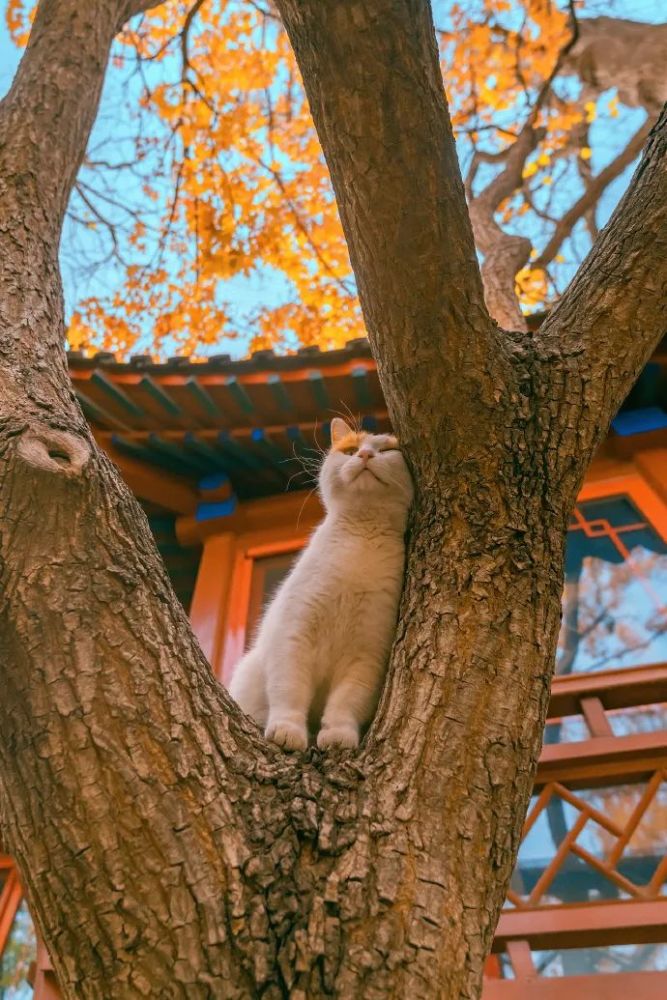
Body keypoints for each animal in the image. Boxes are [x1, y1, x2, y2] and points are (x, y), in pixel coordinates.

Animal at [231, 414, 418, 752]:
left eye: (386, 450)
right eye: (351, 450)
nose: (365, 455)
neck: (359, 542)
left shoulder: (366, 656)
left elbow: (347, 702)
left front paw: (338, 735)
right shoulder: (293, 636)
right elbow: (290, 691)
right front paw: (288, 731)